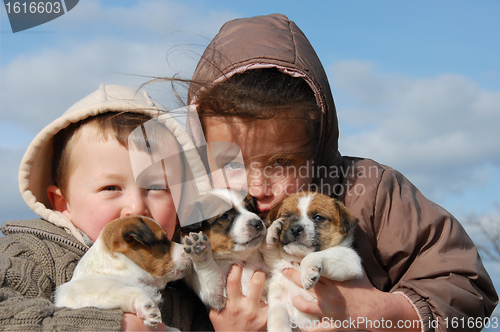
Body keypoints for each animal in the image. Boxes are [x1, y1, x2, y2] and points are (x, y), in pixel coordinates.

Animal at [262, 192, 364, 332]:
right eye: (287, 215)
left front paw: (309, 271)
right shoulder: (278, 300)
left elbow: (315, 255)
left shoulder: (351, 259)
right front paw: (272, 230)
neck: (297, 259)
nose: (295, 229)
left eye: (318, 217)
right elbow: (278, 322)